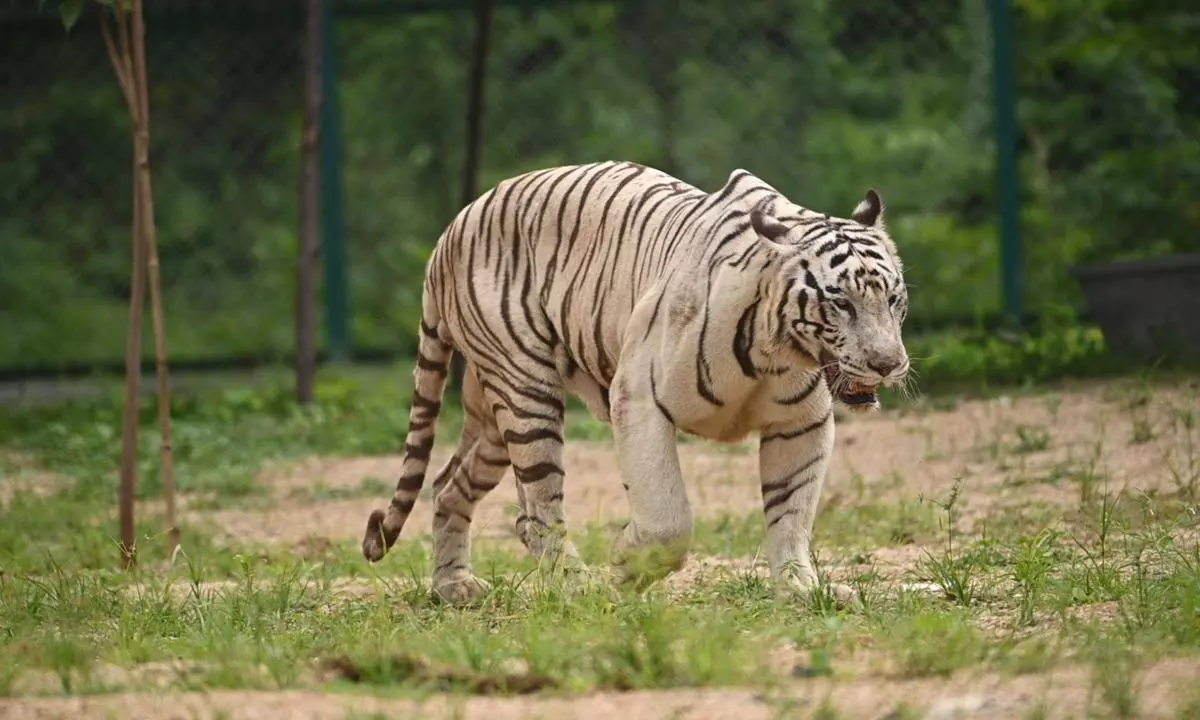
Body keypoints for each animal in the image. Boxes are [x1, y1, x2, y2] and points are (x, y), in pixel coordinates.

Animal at [361, 160, 910, 605]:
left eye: (893, 299)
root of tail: (451, 230)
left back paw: (453, 586)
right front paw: (626, 568)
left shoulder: (801, 423)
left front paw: (799, 589)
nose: (889, 364)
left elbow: (791, 512)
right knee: (538, 506)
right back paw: (574, 586)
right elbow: (668, 517)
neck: (776, 351)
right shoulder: (640, 399)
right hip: (524, 392)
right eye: (841, 303)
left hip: (493, 415)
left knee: (449, 485)